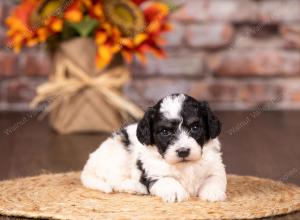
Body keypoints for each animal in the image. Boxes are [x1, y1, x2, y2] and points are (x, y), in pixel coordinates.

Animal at [81, 93, 226, 202]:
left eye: (195, 128)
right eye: (165, 132)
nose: (183, 151)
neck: (184, 165)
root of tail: (92, 159)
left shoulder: (216, 167)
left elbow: (214, 178)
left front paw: (213, 193)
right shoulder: (154, 173)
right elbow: (167, 179)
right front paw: (175, 192)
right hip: (119, 155)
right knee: (115, 181)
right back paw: (136, 187)